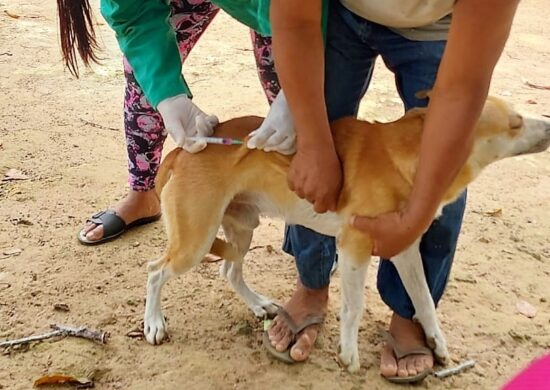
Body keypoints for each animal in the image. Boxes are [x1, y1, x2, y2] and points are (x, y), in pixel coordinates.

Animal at [143, 96, 550, 372]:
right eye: (515, 123)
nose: (548, 123)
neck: (408, 157)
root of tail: (183, 150)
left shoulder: (404, 247)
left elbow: (423, 301)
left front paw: (436, 343)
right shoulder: (354, 246)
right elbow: (353, 306)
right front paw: (349, 355)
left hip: (241, 228)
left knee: (229, 269)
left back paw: (258, 304)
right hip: (196, 240)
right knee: (155, 272)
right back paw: (154, 323)